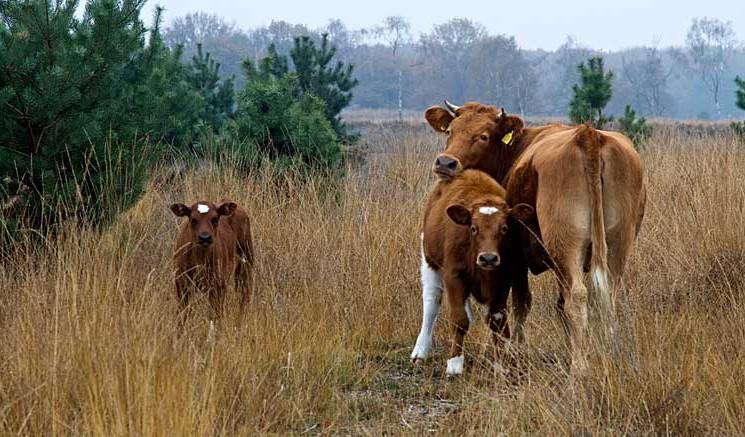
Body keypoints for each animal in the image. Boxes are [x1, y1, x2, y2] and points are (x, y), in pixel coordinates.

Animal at [170, 199, 254, 328]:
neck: (200, 258)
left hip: (246, 264)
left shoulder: (218, 284)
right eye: (193, 219)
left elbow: (215, 316)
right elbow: (182, 314)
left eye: (215, 219)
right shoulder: (181, 283)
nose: (205, 237)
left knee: (244, 296)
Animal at [410, 169, 532, 372]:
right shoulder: (453, 275)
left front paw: (501, 364)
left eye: (504, 228)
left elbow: (497, 321)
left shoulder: (504, 278)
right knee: (431, 301)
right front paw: (454, 363)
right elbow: (459, 320)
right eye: (474, 228)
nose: (488, 258)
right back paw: (420, 351)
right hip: (429, 261)